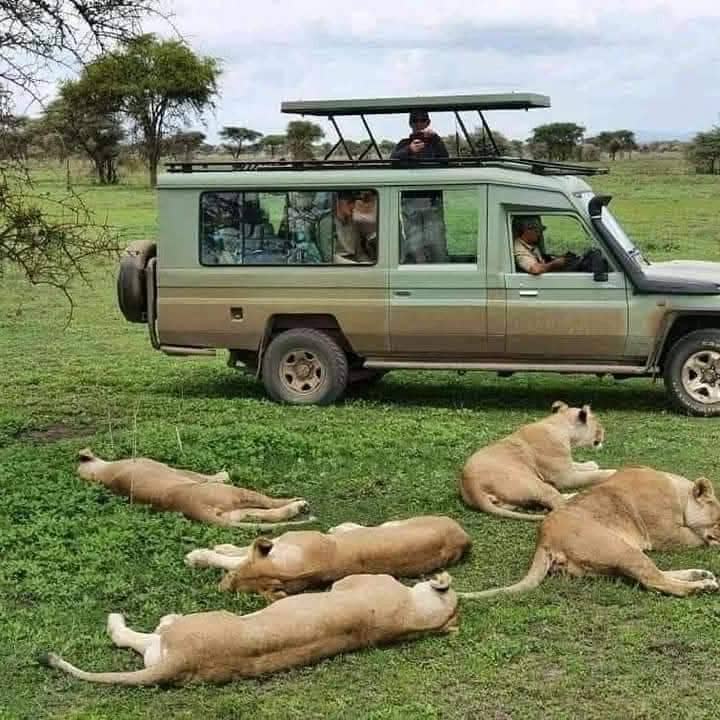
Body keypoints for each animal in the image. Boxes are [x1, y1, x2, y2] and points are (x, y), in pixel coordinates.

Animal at [77, 449, 314, 529]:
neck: (104, 475)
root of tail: (193, 508)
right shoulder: (171, 469)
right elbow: (198, 474)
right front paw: (223, 474)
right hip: (236, 493)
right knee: (271, 503)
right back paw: (298, 503)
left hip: (236, 512)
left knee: (269, 515)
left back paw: (296, 509)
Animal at [185, 516, 471, 601]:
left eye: (234, 581)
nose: (221, 588)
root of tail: (464, 538)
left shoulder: (287, 539)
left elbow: (239, 554)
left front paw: (199, 556)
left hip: (400, 522)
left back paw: (343, 527)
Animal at [459, 466, 720, 599]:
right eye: (718, 519)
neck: (680, 492)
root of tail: (544, 539)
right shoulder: (667, 535)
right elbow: (697, 538)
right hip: (620, 549)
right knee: (655, 580)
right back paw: (702, 586)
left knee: (656, 573)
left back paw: (700, 574)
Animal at [460, 401, 616, 520]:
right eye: (598, 425)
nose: (604, 432)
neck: (559, 427)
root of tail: (470, 486)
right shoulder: (565, 477)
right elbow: (594, 475)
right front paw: (613, 471)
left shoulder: (566, 466)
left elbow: (580, 465)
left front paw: (592, 464)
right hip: (532, 483)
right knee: (557, 502)